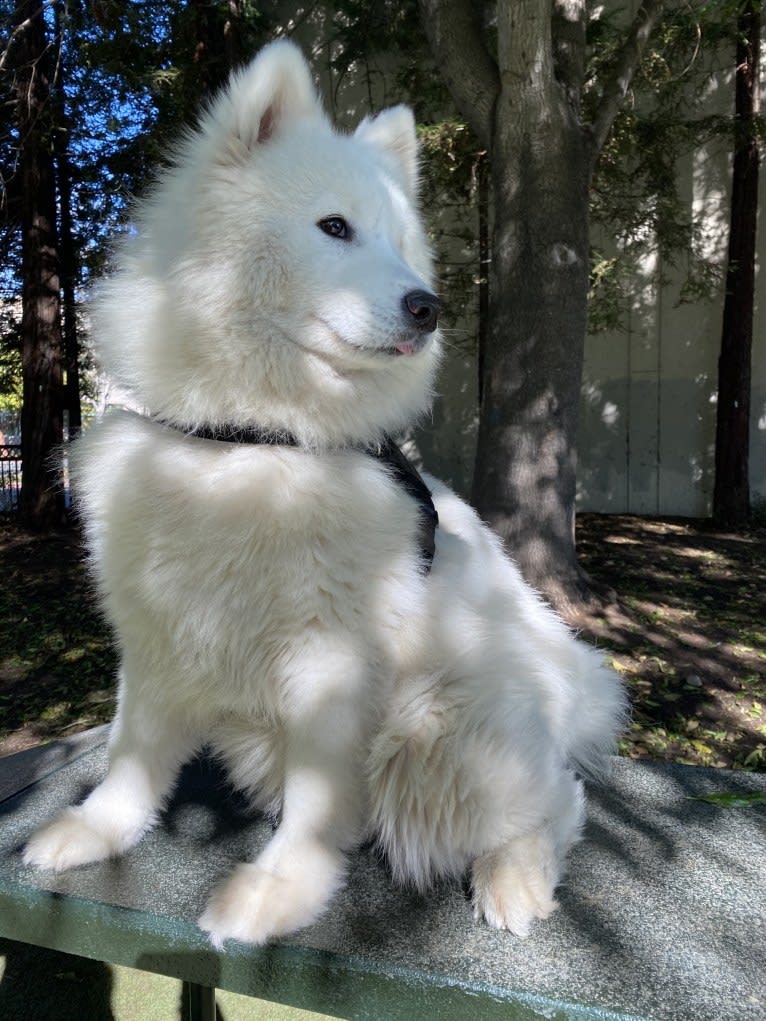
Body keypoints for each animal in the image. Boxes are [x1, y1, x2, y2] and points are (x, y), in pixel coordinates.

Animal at [24, 41, 625, 947]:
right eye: (334, 227)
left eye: (403, 247)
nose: (428, 305)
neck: (253, 440)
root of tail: (556, 682)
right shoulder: (156, 635)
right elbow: (131, 758)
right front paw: (95, 830)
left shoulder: (331, 662)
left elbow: (313, 804)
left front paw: (276, 890)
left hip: (441, 737)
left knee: (559, 800)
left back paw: (515, 879)